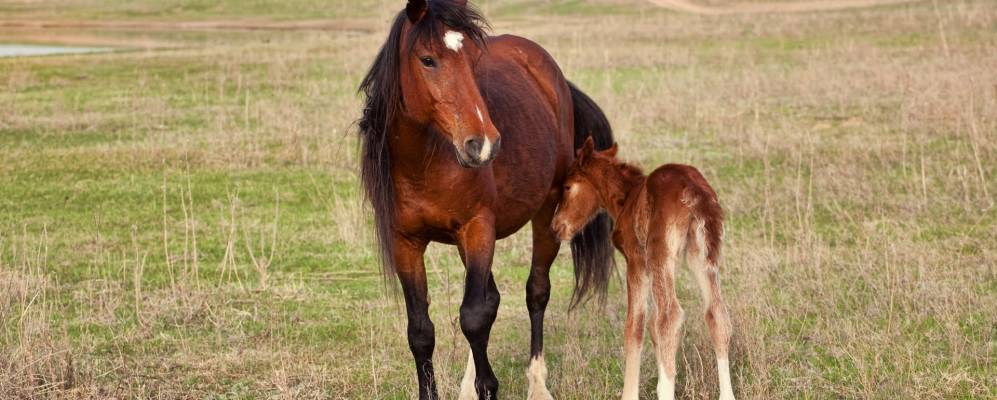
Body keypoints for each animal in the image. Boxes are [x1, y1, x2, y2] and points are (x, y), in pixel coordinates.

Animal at [358, 1, 616, 398]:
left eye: (472, 61)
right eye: (427, 60)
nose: (483, 144)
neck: (424, 161)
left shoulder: (478, 228)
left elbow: (474, 317)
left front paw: (489, 386)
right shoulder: (405, 242)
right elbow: (421, 330)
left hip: (545, 212)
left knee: (536, 292)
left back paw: (537, 385)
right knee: (491, 299)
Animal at [552, 138, 732, 400]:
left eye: (567, 187)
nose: (556, 226)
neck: (626, 198)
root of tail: (694, 192)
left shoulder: (636, 261)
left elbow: (635, 326)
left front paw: (629, 394)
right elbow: (652, 328)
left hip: (660, 254)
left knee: (670, 316)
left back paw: (665, 389)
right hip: (703, 256)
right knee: (716, 313)